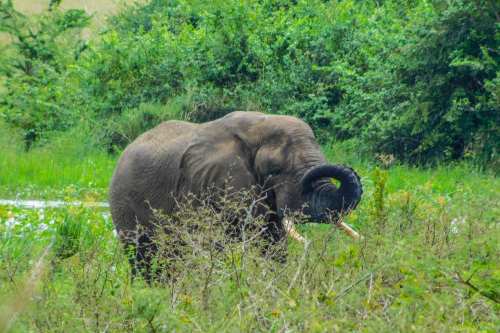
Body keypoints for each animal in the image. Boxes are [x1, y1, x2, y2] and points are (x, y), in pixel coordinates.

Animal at [109, 110, 362, 278]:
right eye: (274, 171)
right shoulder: (209, 187)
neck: (259, 125)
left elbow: (272, 244)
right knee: (143, 257)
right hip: (124, 204)